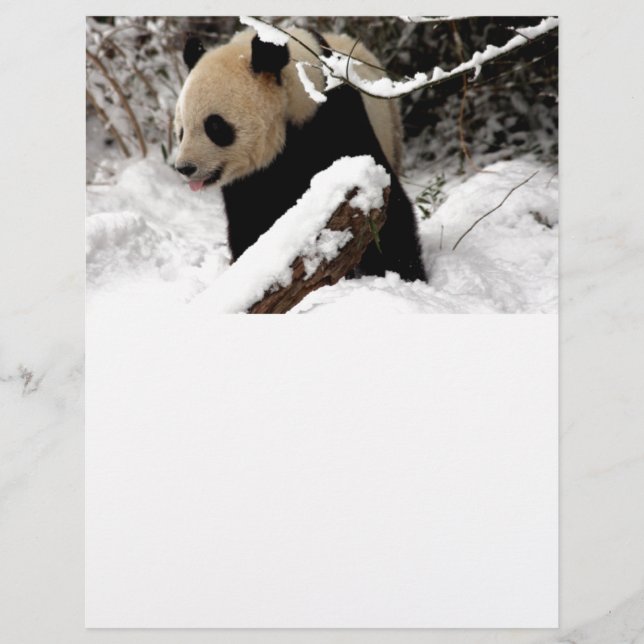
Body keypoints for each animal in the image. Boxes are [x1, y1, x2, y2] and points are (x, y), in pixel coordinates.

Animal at [174, 26, 426, 282]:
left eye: (215, 126)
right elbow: (250, 221)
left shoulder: (337, 120)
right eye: (182, 130)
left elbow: (386, 206)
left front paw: (403, 274)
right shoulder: (248, 180)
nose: (185, 167)